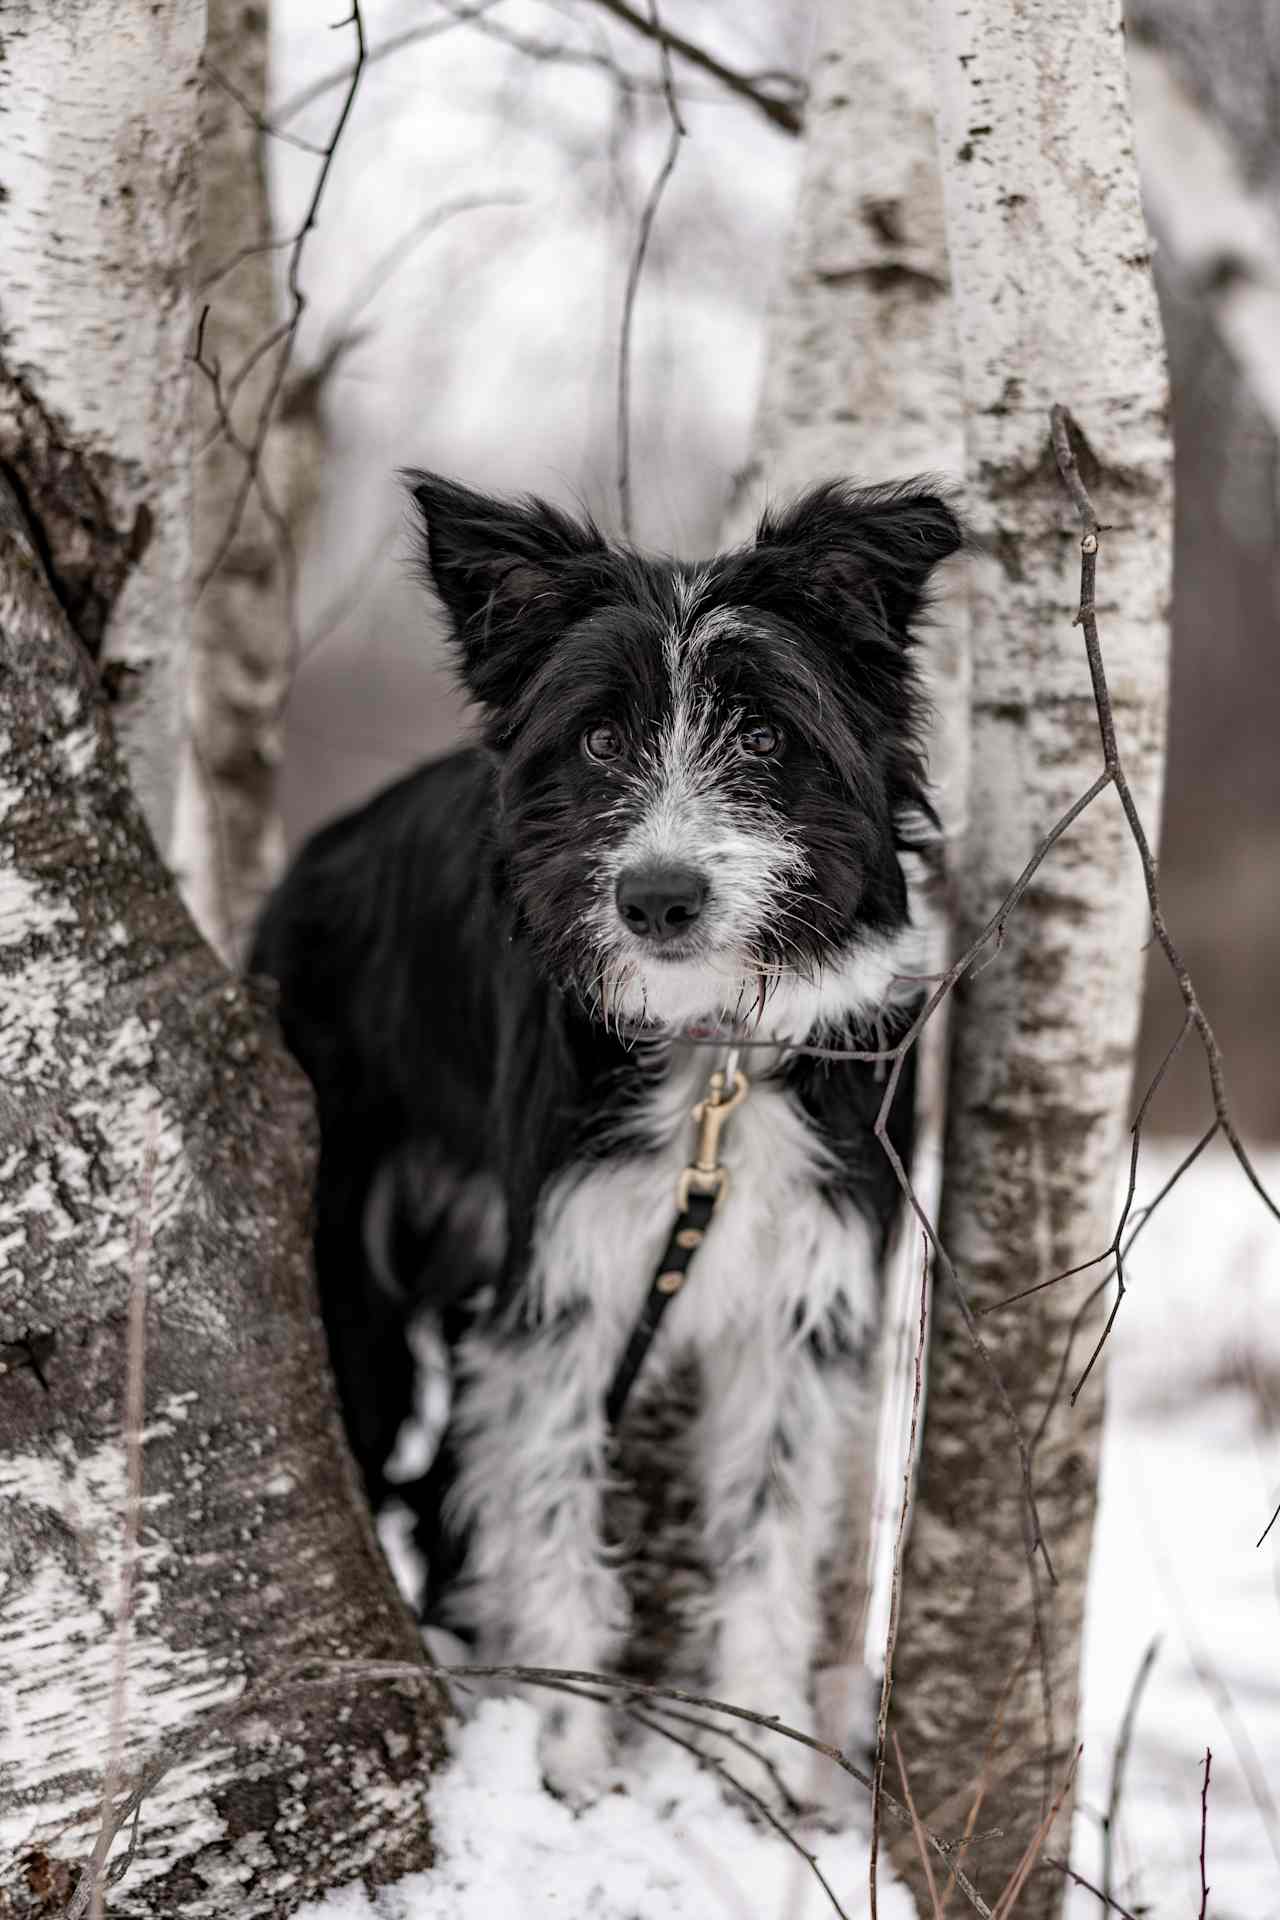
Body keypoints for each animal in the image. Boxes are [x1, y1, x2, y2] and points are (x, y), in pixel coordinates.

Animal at [253, 472, 959, 1804]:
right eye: (593, 740)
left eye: (762, 736)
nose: (656, 899)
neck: (710, 1054)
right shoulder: (560, 1295)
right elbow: (553, 1521)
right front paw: (569, 1763)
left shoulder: (801, 1301)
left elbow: (764, 1540)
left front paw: (756, 1754)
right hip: (351, 1285)